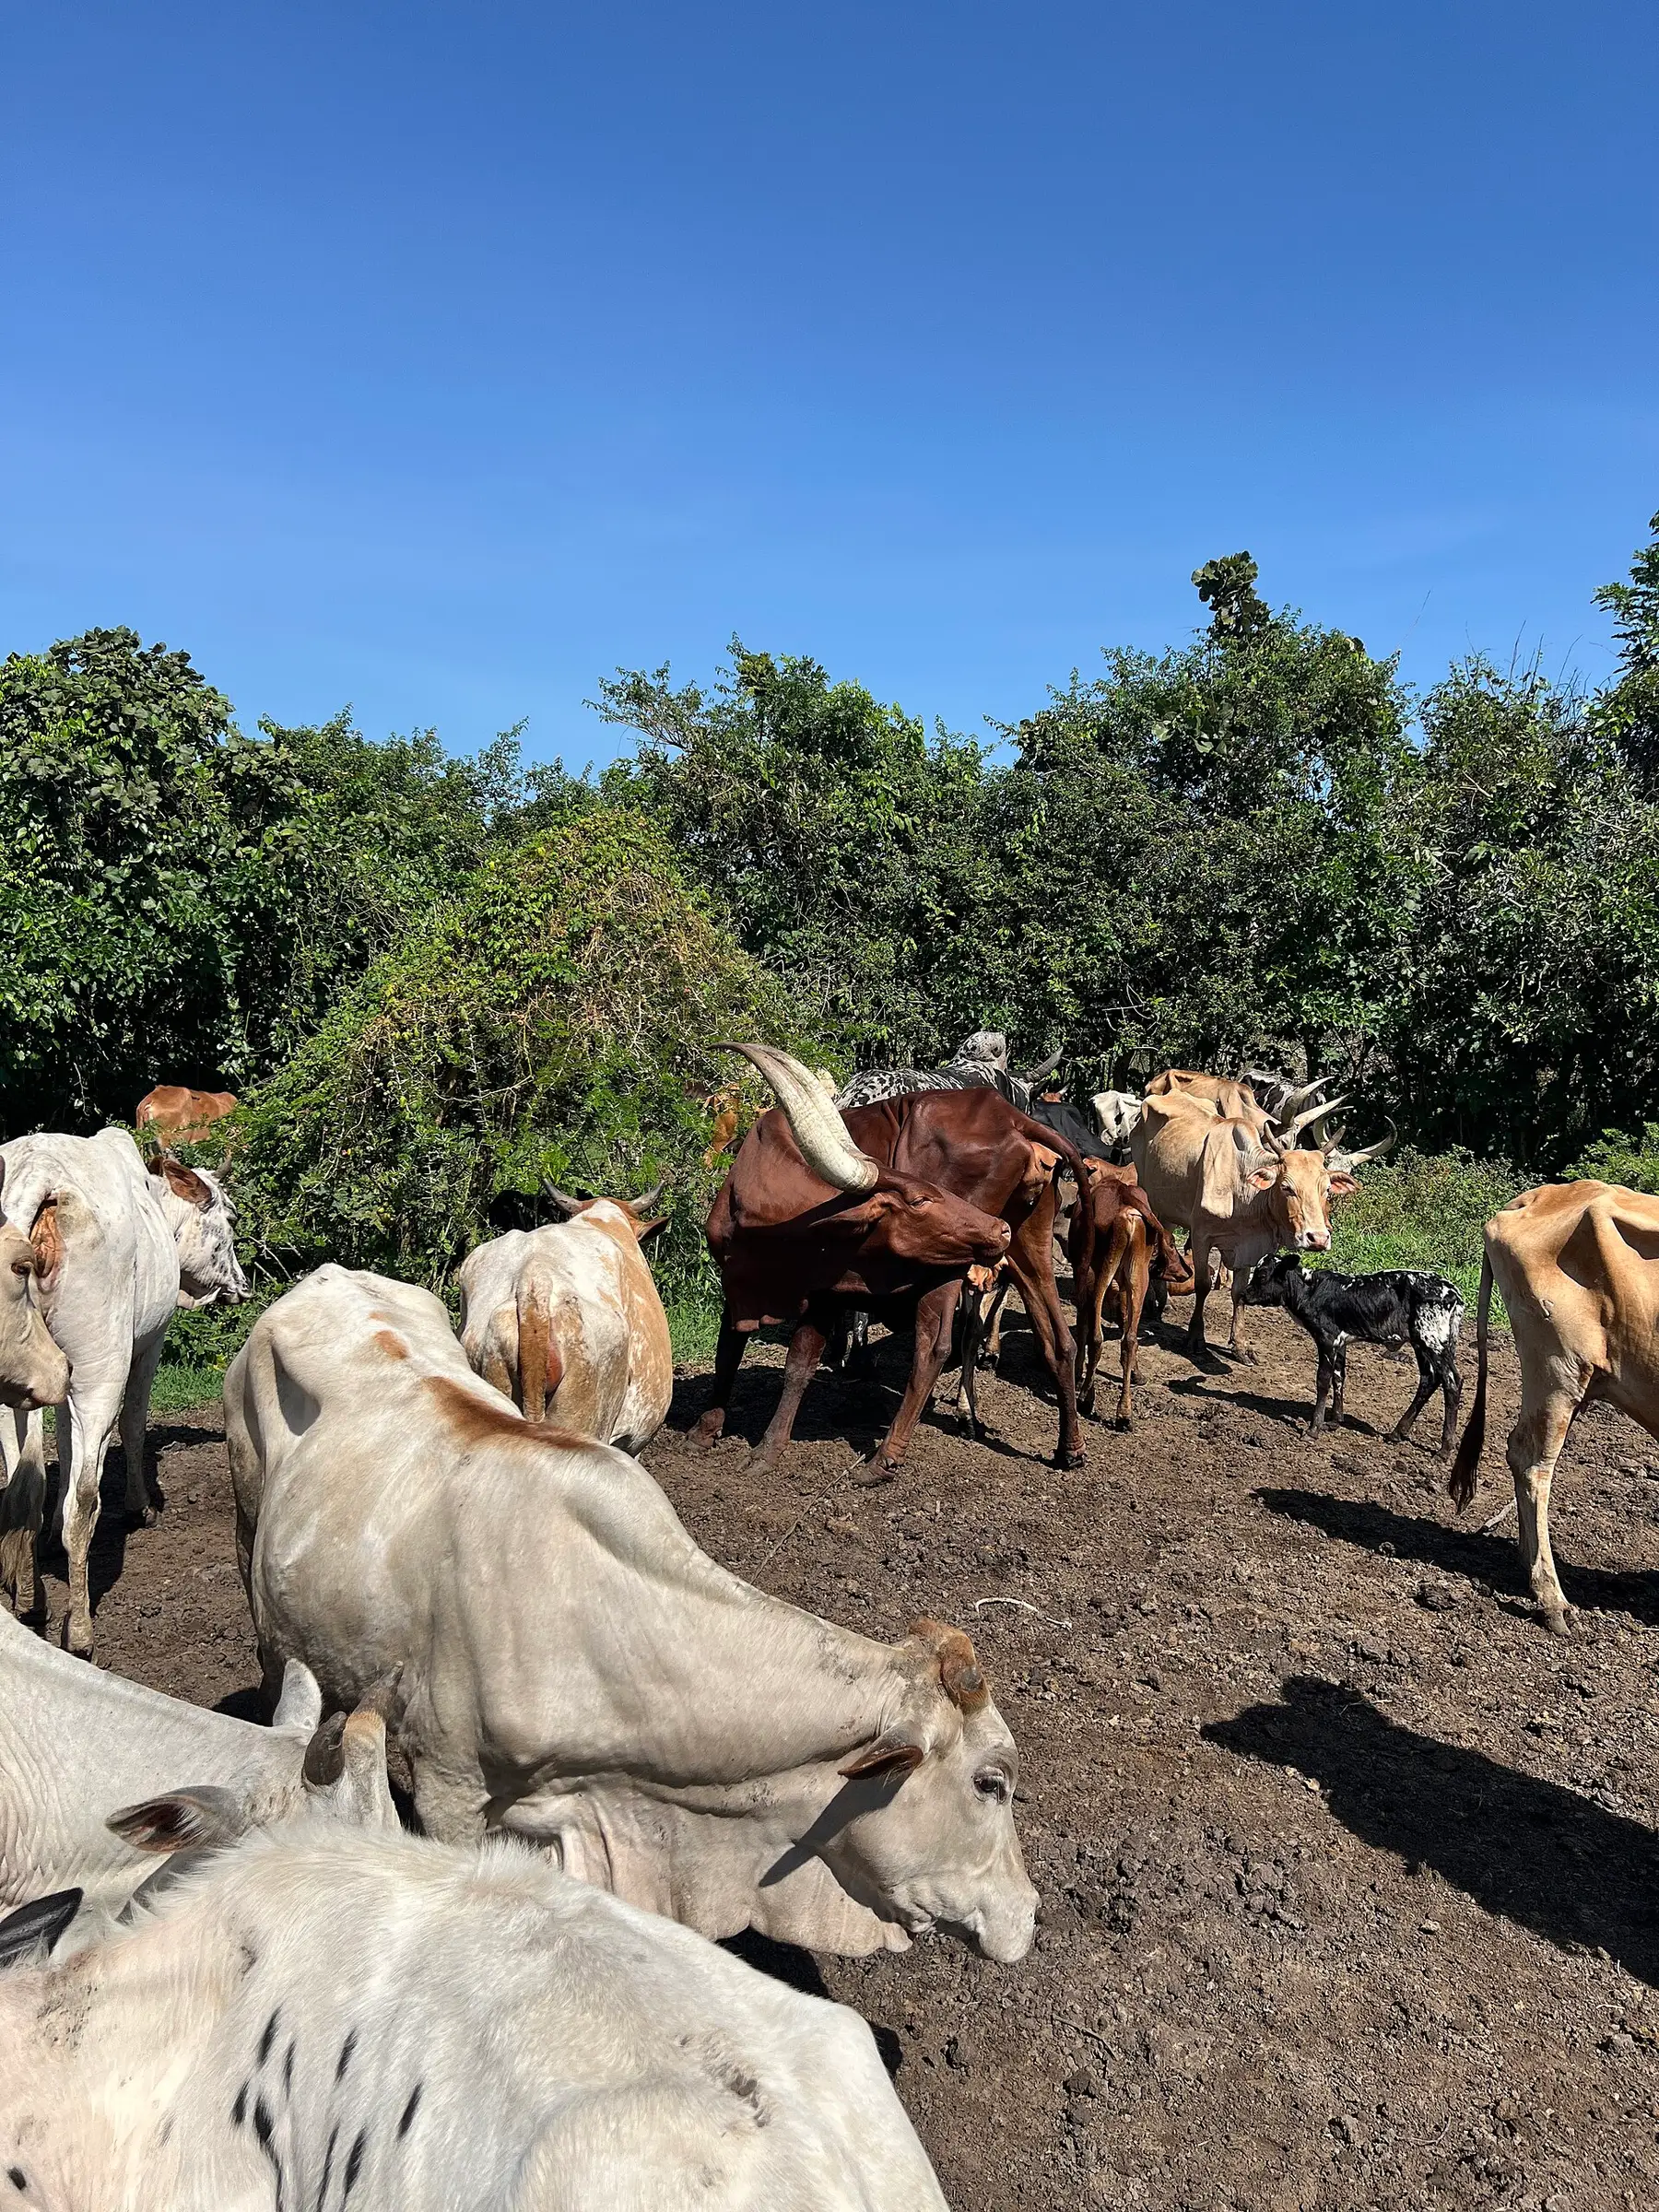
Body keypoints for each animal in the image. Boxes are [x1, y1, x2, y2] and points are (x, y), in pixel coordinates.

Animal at [0, 1129, 248, 1651]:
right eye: (230, 1217)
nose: (242, 1285)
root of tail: (34, 1177)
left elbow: (66, 1446)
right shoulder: (148, 1343)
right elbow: (134, 1427)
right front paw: (141, 1507)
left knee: (21, 1486)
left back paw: (31, 1597)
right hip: (102, 1365)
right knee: (84, 1503)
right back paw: (79, 1631)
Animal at [699, 1044, 1087, 1474]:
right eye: (918, 1199)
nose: (997, 1228)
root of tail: (1015, 1117)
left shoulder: (821, 1293)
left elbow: (783, 1362)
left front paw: (757, 1446)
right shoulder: (747, 1286)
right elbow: (737, 1353)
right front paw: (716, 1432)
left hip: (950, 1261)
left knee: (936, 1347)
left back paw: (884, 1458)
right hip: (1025, 1248)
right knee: (1059, 1340)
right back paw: (1068, 1448)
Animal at [1130, 1093, 1389, 1367]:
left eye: (1327, 1189)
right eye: (1286, 1187)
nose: (1318, 1238)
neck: (1242, 1190)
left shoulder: (1250, 1248)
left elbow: (1239, 1293)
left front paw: (1241, 1346)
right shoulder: (1201, 1237)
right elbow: (1202, 1285)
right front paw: (1195, 1337)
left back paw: (1164, 1302)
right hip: (1151, 1198)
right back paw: (1152, 1302)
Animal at [1241, 1252, 1465, 1451]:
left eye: (1262, 1275)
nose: (1244, 1294)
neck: (1309, 1290)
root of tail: (1453, 1292)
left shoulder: (1327, 1339)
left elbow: (1323, 1380)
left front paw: (1313, 1429)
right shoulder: (1341, 1342)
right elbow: (1339, 1377)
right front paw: (1335, 1421)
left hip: (1432, 1341)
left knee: (1452, 1381)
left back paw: (1444, 1450)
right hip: (1422, 1343)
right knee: (1429, 1379)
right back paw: (1397, 1433)